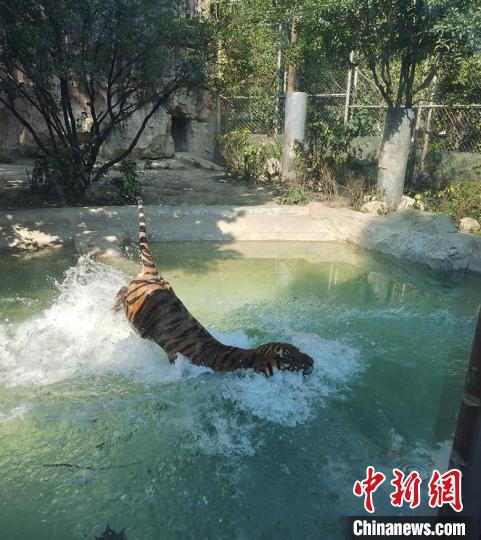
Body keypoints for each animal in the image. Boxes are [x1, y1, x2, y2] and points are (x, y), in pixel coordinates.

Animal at [114, 196, 314, 378]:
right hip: (136, 319)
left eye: (297, 349)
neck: (249, 357)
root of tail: (153, 273)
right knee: (123, 292)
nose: (312, 361)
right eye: (287, 357)